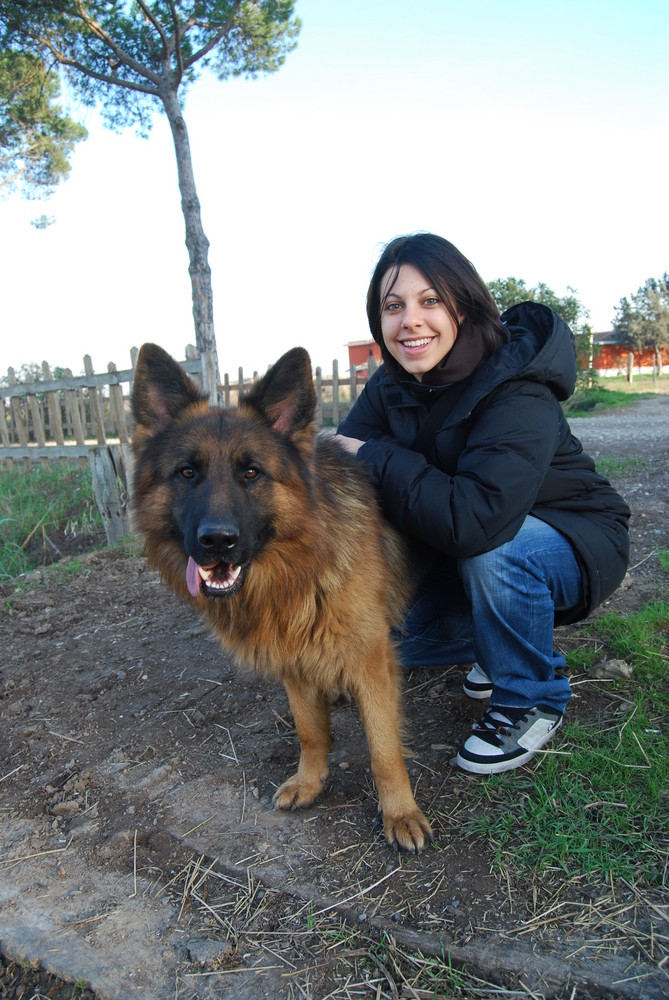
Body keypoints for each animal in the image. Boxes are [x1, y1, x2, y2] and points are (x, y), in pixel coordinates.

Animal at [131, 344, 434, 852]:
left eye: (251, 472)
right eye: (187, 472)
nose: (217, 542)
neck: (299, 567)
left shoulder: (372, 658)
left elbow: (383, 747)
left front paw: (399, 812)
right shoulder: (291, 653)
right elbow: (309, 730)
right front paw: (310, 781)